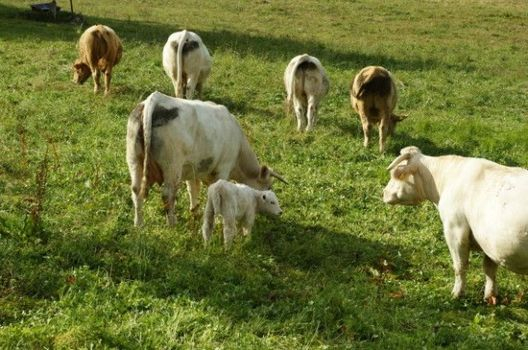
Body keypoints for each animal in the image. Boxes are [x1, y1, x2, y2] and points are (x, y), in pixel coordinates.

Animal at [126, 90, 286, 227]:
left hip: (134, 160)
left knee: (136, 190)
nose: (278, 213)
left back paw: (138, 224)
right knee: (167, 195)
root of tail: (156, 99)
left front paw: (194, 211)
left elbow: (193, 189)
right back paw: (172, 224)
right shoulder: (223, 168)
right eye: (268, 188)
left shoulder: (192, 169)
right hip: (172, 167)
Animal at [382, 146, 528, 302]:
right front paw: (490, 297)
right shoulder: (489, 241)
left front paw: (457, 294)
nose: (383, 193)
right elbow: (489, 269)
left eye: (395, 174)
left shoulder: (455, 230)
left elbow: (460, 266)